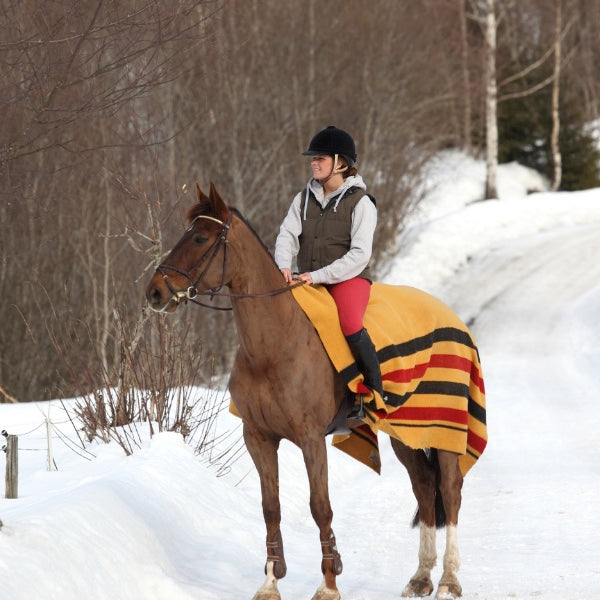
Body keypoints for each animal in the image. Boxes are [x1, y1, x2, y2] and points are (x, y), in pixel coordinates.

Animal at [146, 184, 488, 600]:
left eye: (199, 238)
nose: (154, 292)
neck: (275, 347)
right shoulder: (258, 437)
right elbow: (271, 508)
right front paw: (270, 582)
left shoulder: (311, 438)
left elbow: (320, 506)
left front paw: (328, 583)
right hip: (406, 433)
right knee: (424, 488)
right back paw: (421, 577)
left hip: (443, 427)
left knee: (450, 491)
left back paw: (449, 580)